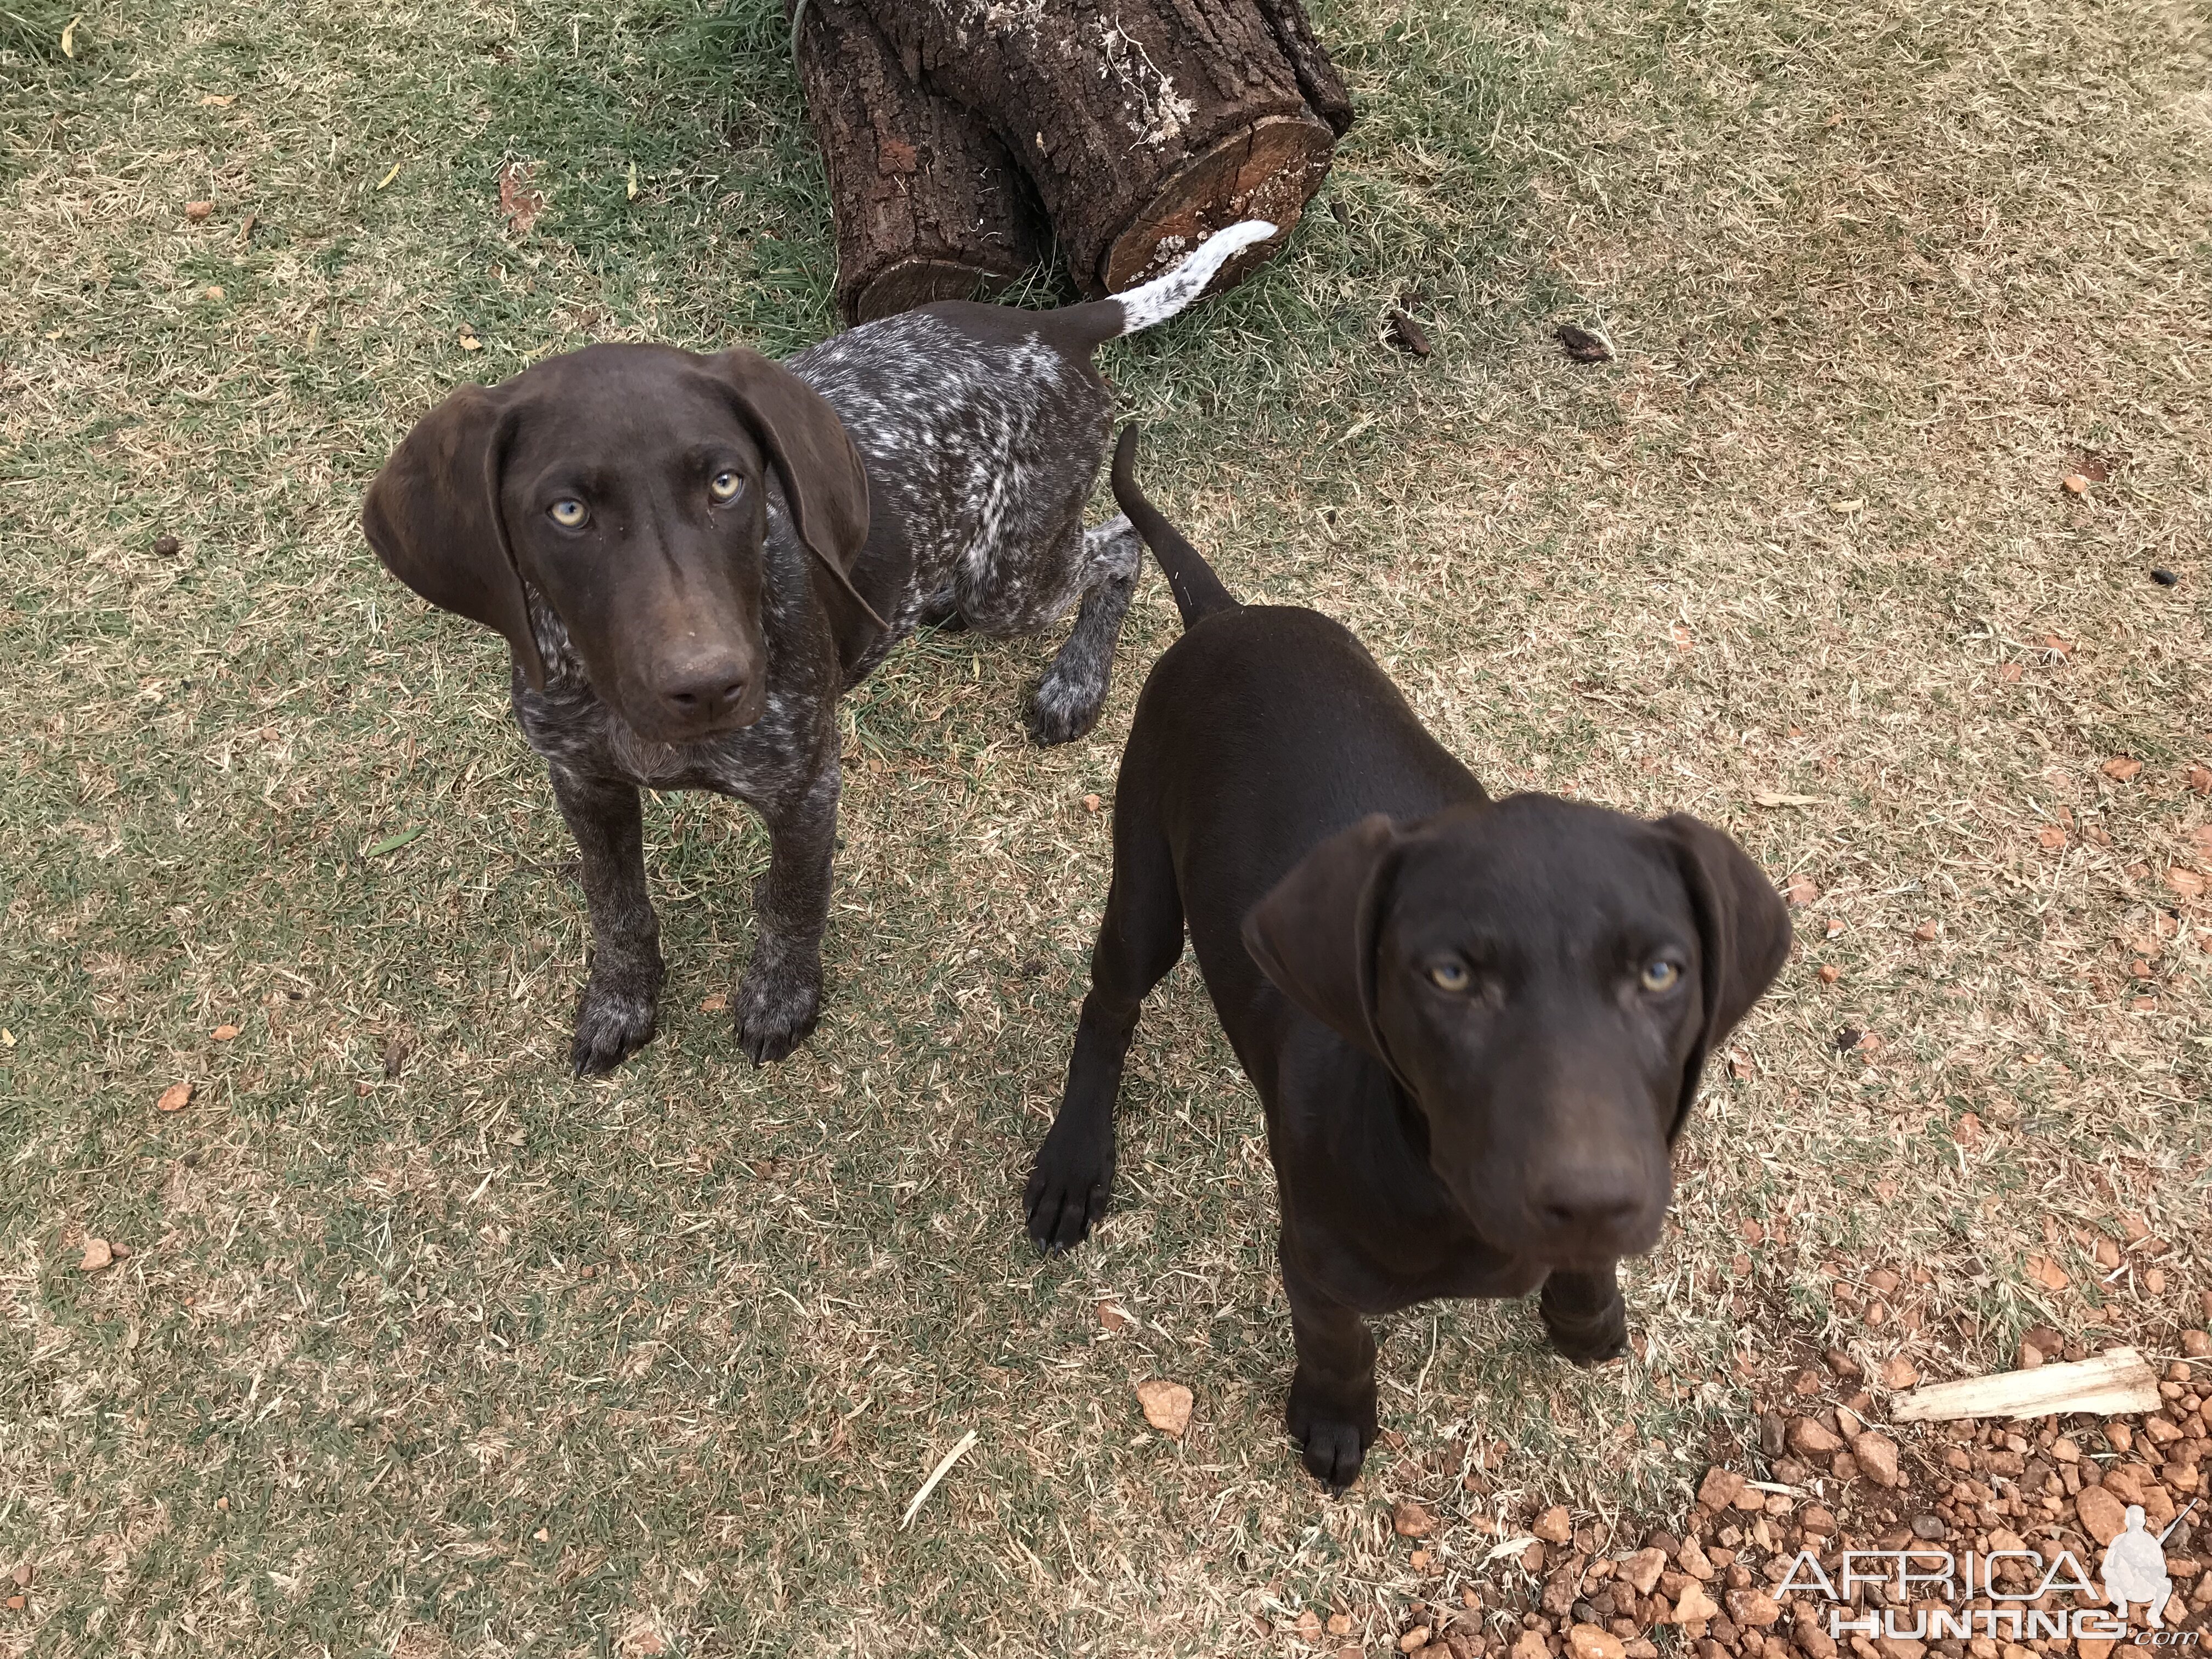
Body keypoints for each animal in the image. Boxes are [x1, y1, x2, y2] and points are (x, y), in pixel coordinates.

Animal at [363, 224, 1283, 1079]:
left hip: (1016, 577)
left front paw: (781, 999)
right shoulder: (584, 782)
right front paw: (621, 1001)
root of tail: (1051, 326)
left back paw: (1076, 682)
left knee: (1122, 546)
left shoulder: (806, 788)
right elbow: (615, 904)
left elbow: (792, 903)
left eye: (727, 483)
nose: (710, 685)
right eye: (567, 512)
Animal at [1026, 429, 1787, 1495]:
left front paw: (1585, 1312)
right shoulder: (1311, 1255)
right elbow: (1338, 1337)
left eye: (1661, 972)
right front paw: (1335, 1420)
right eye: (1451, 975)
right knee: (1109, 1004)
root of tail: (1225, 616)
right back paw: (1073, 1160)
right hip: (1145, 879)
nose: (1588, 1191)